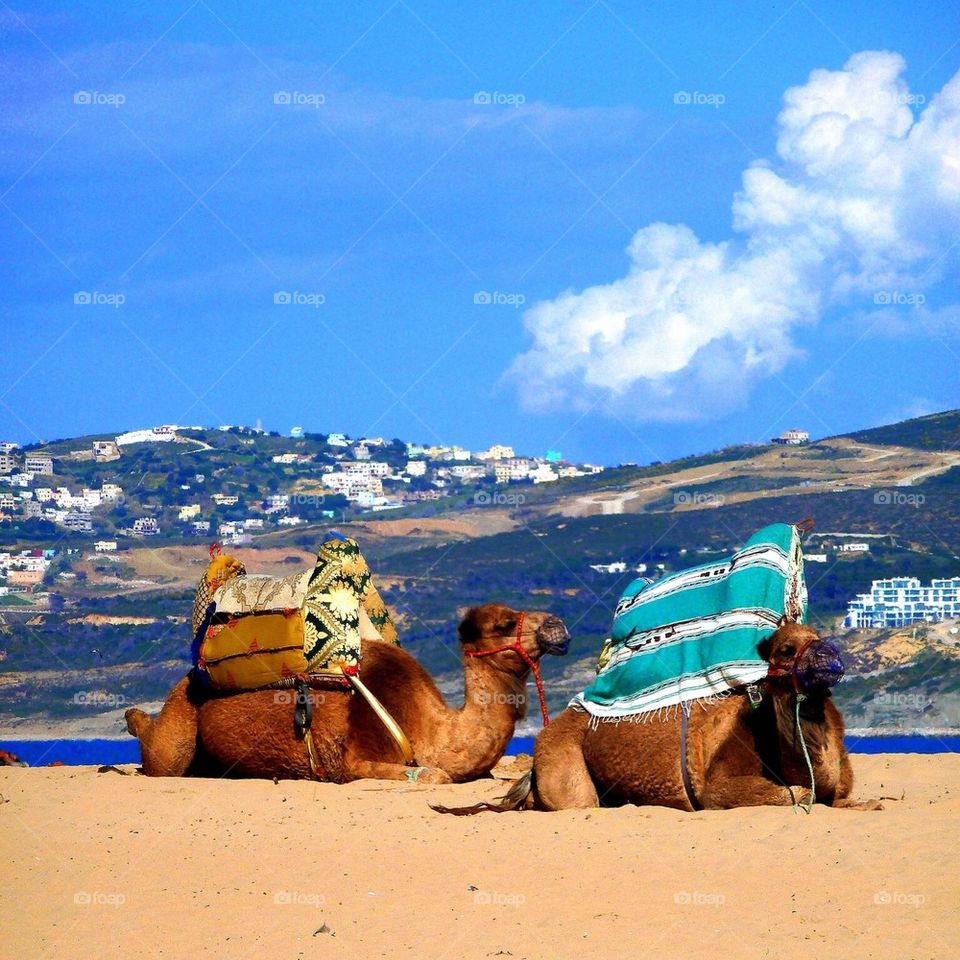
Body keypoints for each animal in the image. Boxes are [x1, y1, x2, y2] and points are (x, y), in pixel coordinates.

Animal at [125, 603, 569, 784]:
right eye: (506, 623)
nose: (559, 626)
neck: (429, 727)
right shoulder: (352, 760)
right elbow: (434, 776)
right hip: (182, 713)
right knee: (162, 758)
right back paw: (132, 720)